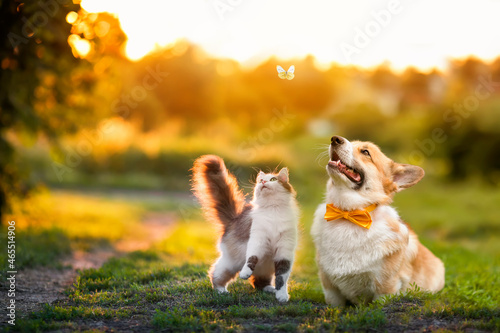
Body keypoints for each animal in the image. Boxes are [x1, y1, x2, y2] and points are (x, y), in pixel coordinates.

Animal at [193, 155, 298, 300]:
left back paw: (269, 289)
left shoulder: (284, 251)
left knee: (259, 282)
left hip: (266, 267)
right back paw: (221, 290)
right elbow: (251, 259)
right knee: (215, 274)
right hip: (231, 264)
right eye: (260, 180)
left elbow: (281, 278)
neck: (273, 210)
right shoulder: (257, 240)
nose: (263, 181)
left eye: (273, 179)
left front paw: (282, 296)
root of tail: (234, 219)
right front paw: (245, 273)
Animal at [310, 136, 444, 306]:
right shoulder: (330, 286)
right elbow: (335, 304)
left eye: (366, 152)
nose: (335, 139)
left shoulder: (385, 287)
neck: (349, 213)